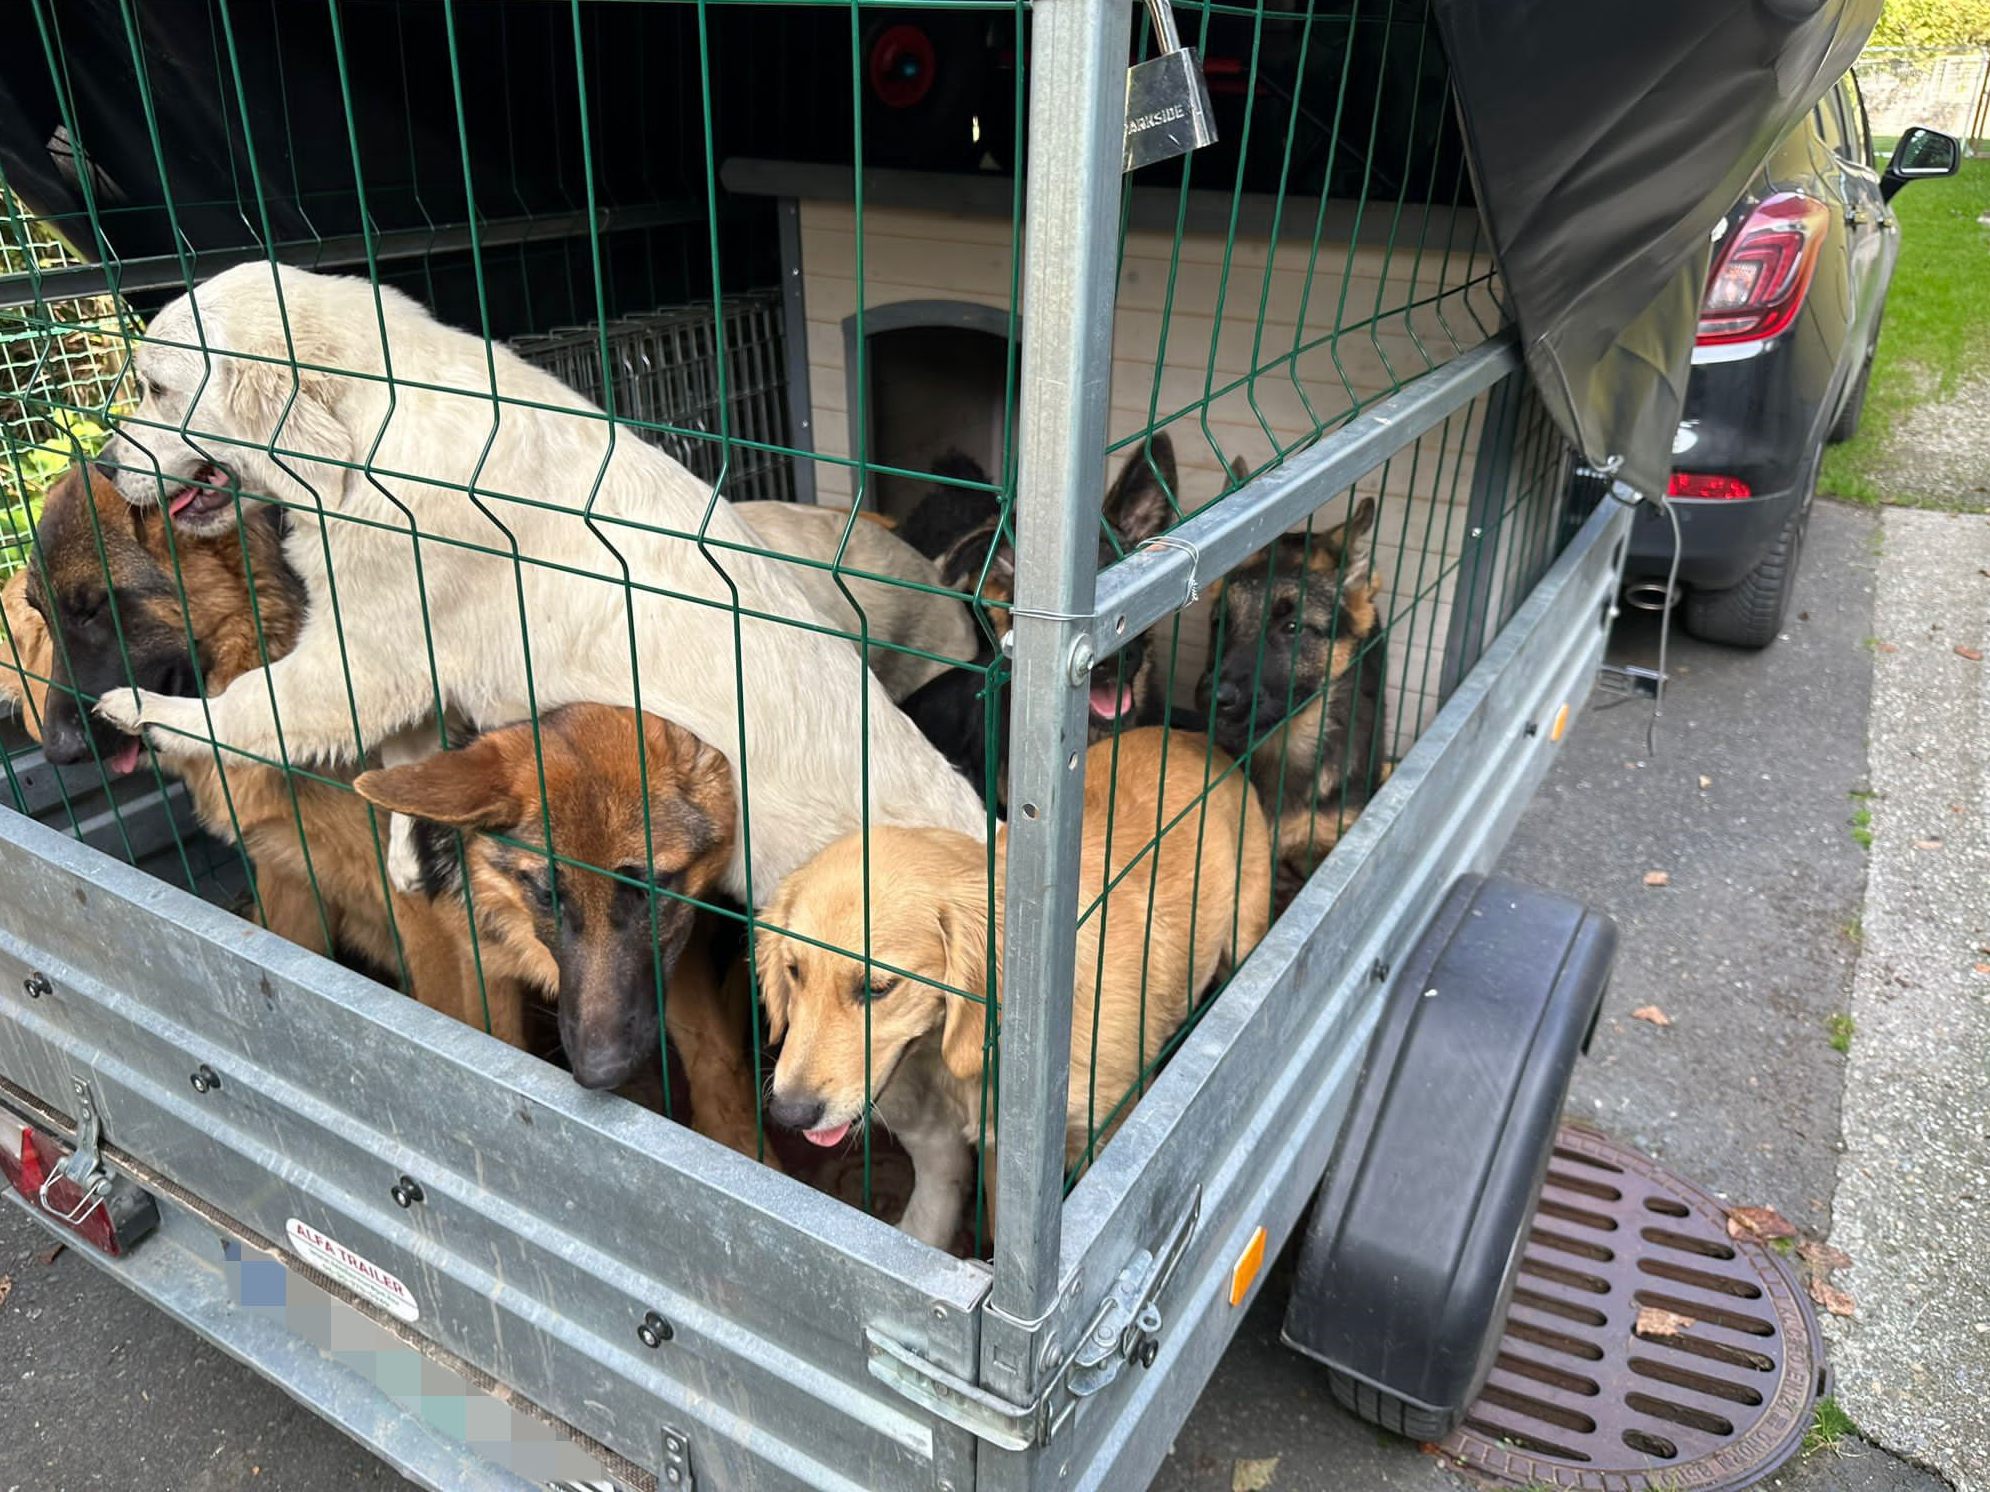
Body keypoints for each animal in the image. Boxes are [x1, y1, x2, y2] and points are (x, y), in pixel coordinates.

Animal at [755, 725, 1272, 1248]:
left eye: (879, 987)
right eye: (793, 971)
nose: (789, 1115)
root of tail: (1189, 736)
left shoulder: (1105, 1132)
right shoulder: (1001, 1156)